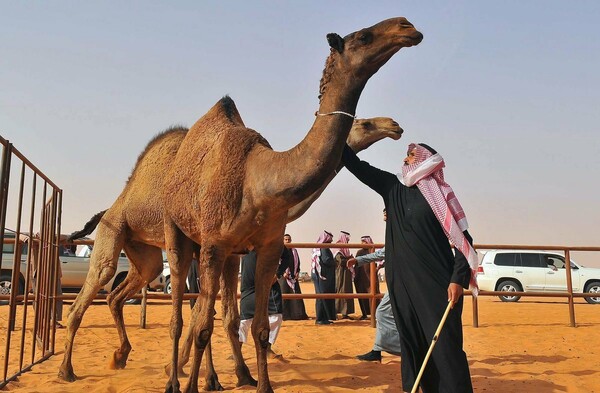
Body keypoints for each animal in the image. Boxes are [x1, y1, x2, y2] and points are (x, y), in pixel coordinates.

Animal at [58, 115, 404, 388]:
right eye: (365, 123)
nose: (393, 125)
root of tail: (112, 206)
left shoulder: (218, 251)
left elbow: (213, 313)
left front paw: (215, 375)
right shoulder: (211, 247)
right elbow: (206, 314)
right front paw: (193, 372)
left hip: (144, 253)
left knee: (121, 293)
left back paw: (120, 356)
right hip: (113, 231)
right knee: (90, 289)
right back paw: (67, 371)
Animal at [159, 16, 422, 390]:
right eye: (363, 36)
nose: (407, 26)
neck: (259, 181)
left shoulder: (266, 246)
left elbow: (257, 328)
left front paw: (262, 384)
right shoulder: (213, 244)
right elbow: (202, 327)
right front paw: (190, 384)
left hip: (226, 254)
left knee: (216, 315)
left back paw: (227, 376)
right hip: (179, 232)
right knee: (182, 317)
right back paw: (177, 380)